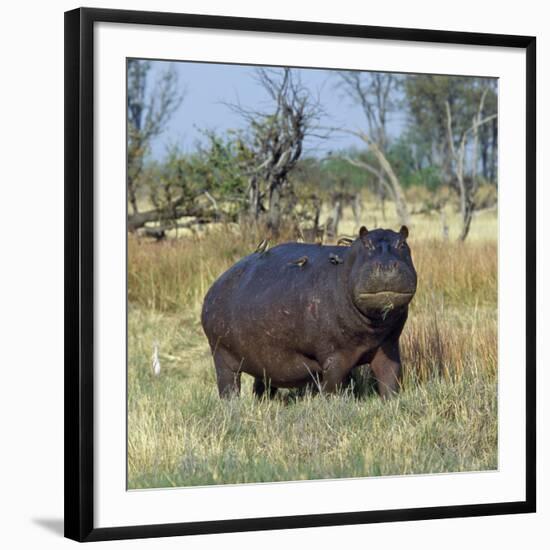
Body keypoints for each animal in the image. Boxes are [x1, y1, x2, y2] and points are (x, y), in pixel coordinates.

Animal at [202, 226, 418, 398]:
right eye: (366, 244)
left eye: (403, 244)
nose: (387, 266)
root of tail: (215, 286)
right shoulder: (335, 356)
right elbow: (332, 385)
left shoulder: (388, 346)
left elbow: (390, 377)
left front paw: (391, 402)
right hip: (222, 357)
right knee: (228, 386)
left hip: (261, 361)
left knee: (262, 385)